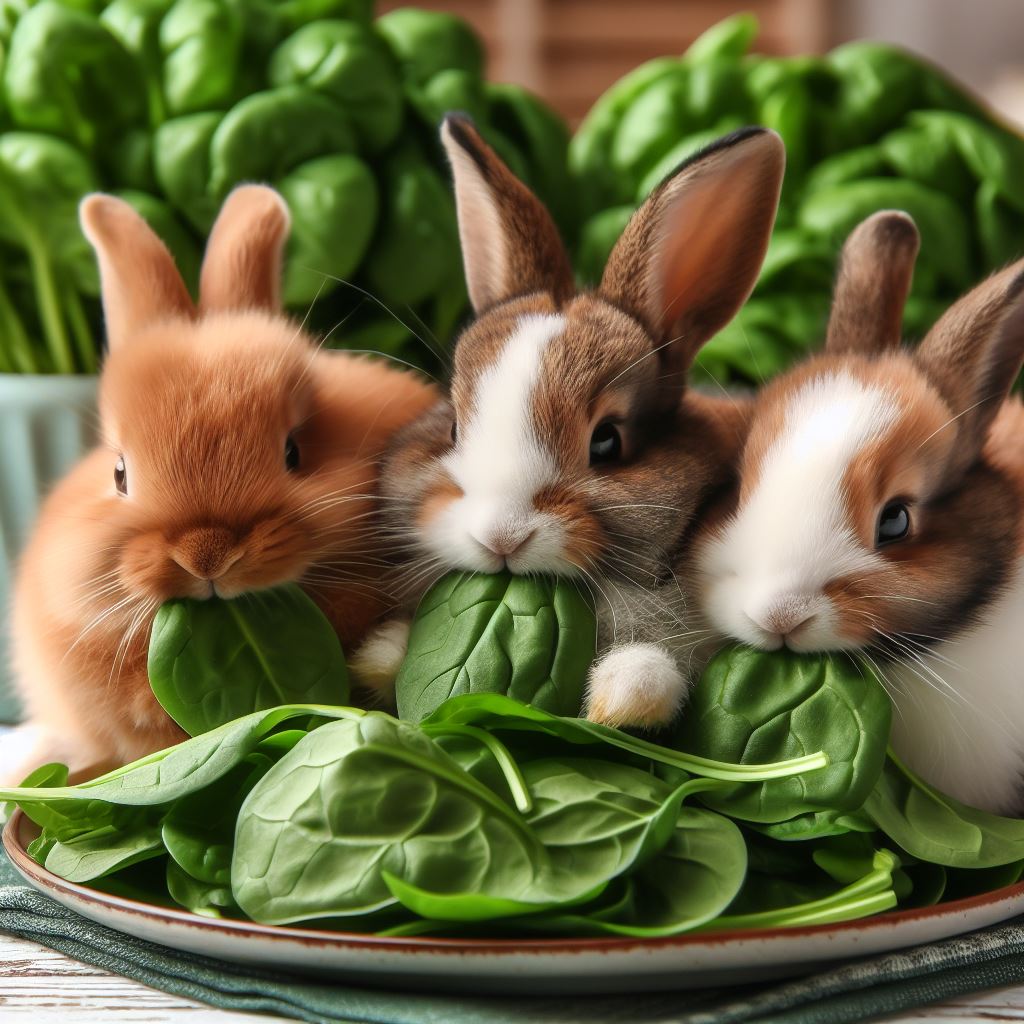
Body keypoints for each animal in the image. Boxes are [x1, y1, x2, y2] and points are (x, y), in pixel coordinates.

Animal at [348, 114, 786, 729]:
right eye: (454, 426)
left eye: (607, 442)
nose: (500, 536)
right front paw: (382, 657)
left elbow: (652, 671)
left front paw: (617, 702)